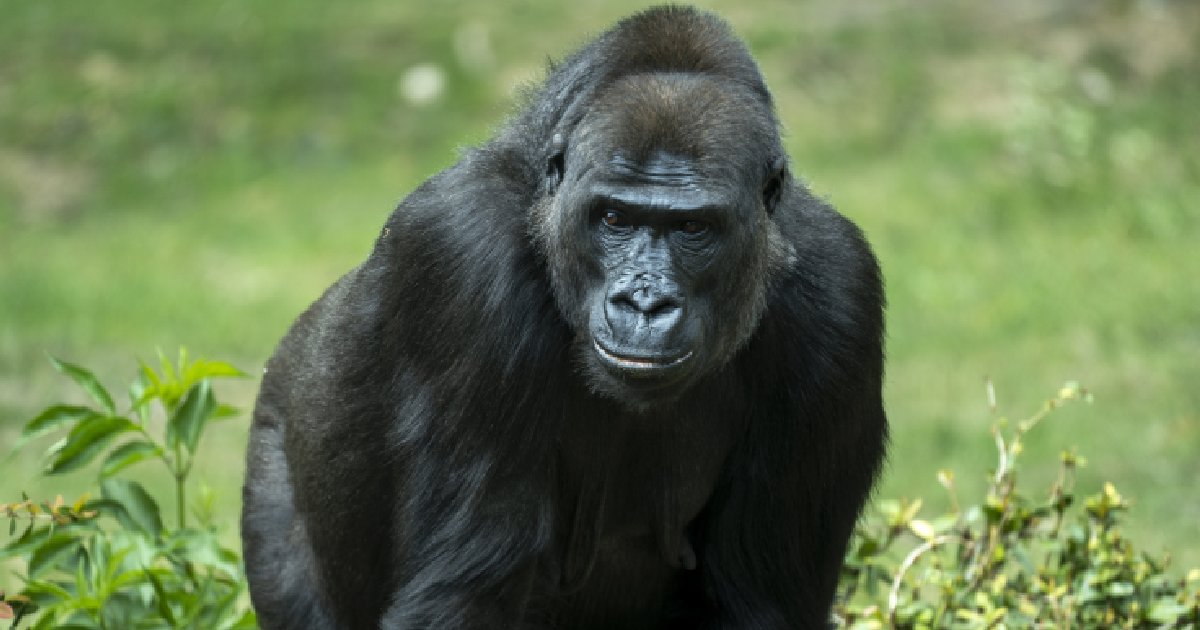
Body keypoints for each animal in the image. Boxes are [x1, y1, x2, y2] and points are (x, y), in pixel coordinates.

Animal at [238, 6, 888, 628]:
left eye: (693, 227)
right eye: (615, 219)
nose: (644, 303)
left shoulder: (841, 298)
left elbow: (760, 605)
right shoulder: (462, 252)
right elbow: (463, 597)